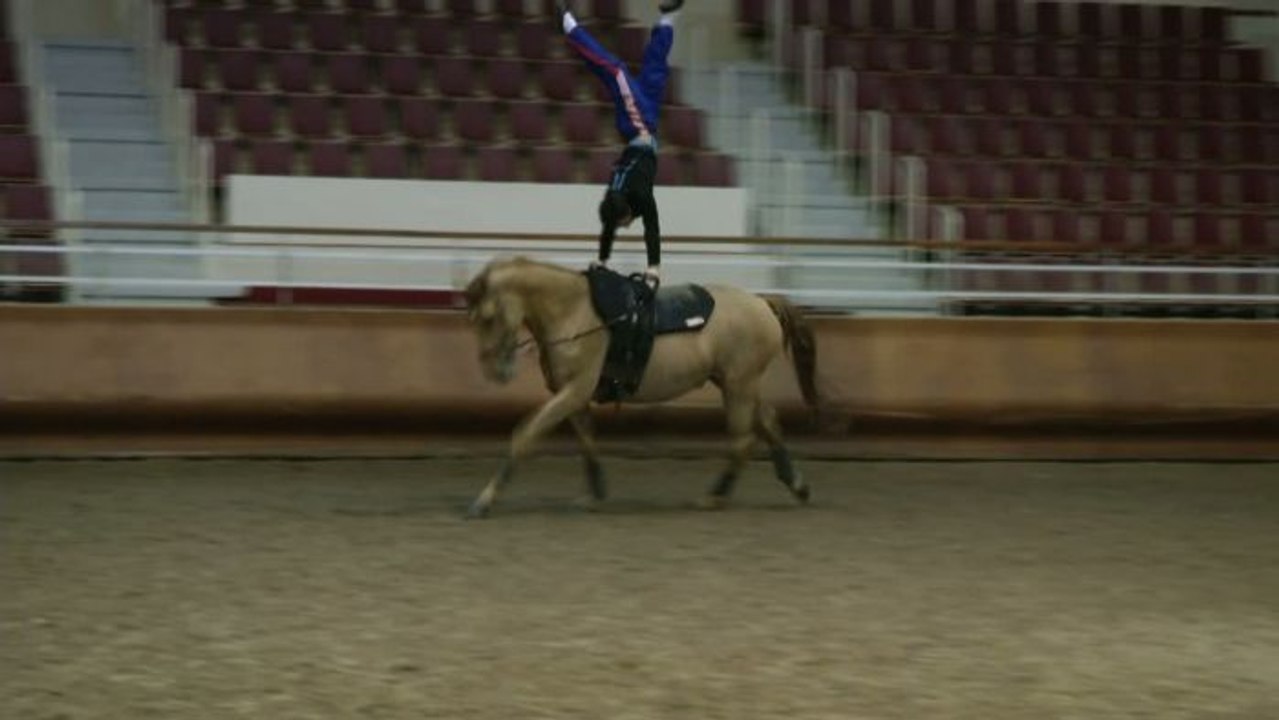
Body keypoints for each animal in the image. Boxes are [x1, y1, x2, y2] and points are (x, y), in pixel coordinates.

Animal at [461, 256, 821, 518]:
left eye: (489, 317)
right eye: (475, 319)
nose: (495, 371)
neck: (574, 313)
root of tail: (763, 304)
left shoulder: (574, 391)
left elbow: (524, 436)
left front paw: (484, 500)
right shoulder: (572, 396)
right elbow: (587, 441)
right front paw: (595, 494)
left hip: (739, 385)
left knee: (743, 440)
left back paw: (714, 497)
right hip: (736, 384)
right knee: (768, 422)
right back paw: (797, 485)